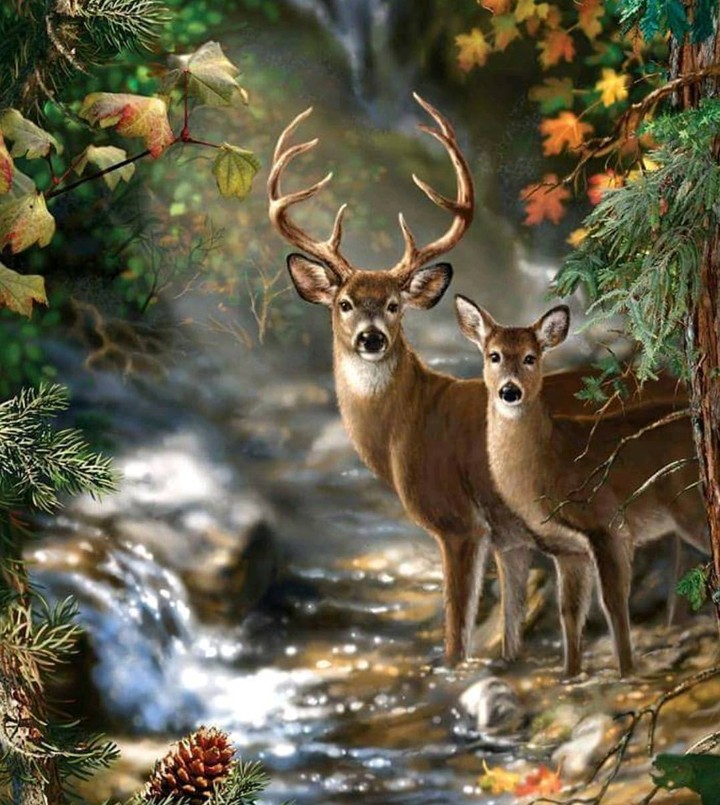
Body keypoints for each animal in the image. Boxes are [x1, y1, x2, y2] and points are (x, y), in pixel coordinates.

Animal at [268, 93, 686, 666]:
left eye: (395, 305)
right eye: (345, 303)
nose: (371, 339)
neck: (404, 428)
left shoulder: (458, 523)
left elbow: (456, 634)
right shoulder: (510, 535)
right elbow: (509, 626)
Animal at [454, 296, 708, 677]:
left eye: (531, 357)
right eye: (493, 355)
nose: (510, 391)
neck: (551, 463)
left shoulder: (608, 524)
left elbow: (613, 603)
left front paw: (626, 672)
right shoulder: (567, 549)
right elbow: (570, 613)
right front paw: (570, 674)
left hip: (693, 507)